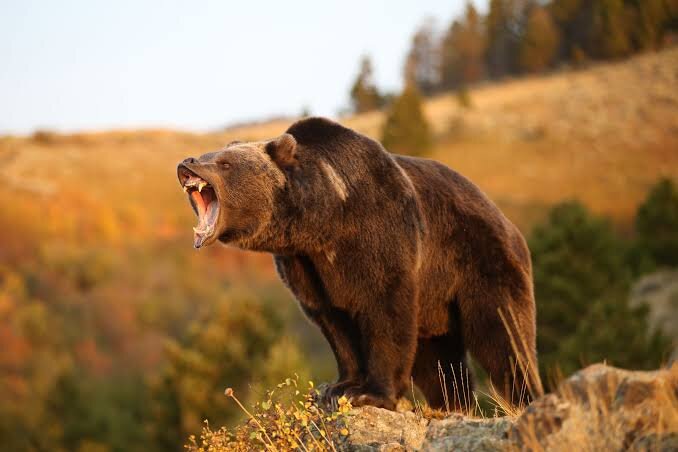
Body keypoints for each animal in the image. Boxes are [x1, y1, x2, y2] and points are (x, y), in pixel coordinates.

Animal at [177, 117, 539, 410]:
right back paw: (453, 404)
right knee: (438, 362)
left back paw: (525, 397)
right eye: (209, 154)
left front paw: (370, 394)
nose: (187, 162)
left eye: (224, 163)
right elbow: (333, 321)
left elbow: (385, 310)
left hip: (480, 261)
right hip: (436, 306)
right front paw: (338, 387)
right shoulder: (306, 266)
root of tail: (508, 223)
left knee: (504, 335)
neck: (325, 221)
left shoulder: (380, 234)